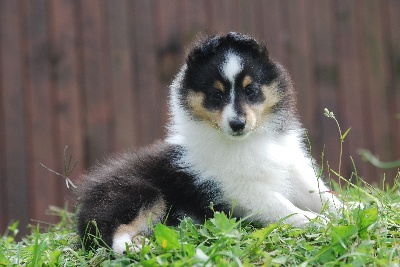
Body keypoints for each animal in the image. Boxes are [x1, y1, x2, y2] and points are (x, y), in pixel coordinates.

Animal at [76, 32, 340, 254]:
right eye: (216, 95)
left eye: (250, 90)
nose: (237, 124)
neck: (248, 141)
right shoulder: (237, 189)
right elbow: (281, 206)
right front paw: (316, 221)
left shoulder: (293, 168)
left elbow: (323, 195)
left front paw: (347, 209)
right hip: (137, 193)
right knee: (109, 233)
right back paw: (135, 246)